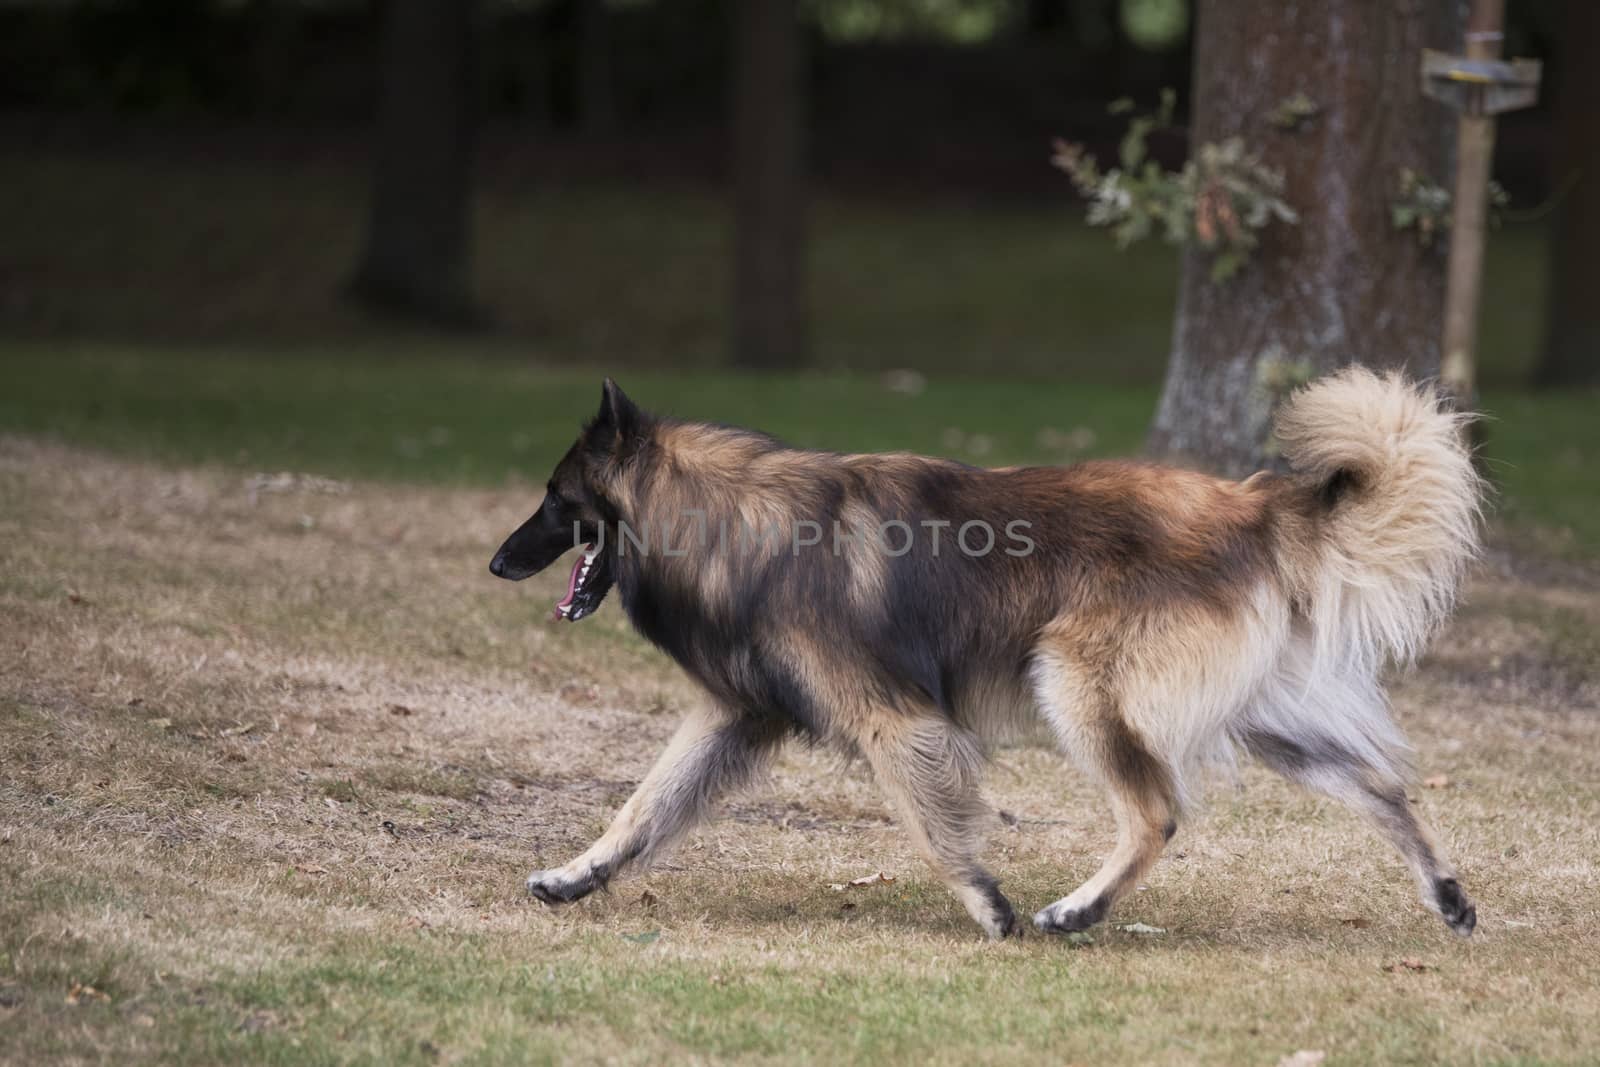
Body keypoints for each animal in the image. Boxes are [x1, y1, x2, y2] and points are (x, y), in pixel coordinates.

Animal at [489, 371, 1484, 940]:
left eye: (555, 498)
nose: (498, 562)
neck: (729, 520)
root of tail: (1253, 505)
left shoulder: (894, 721)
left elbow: (935, 828)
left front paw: (988, 905)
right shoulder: (736, 714)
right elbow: (642, 809)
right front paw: (575, 876)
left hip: (1075, 682)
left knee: (1156, 813)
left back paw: (1078, 908)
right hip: (1268, 719)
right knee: (1382, 786)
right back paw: (1448, 896)